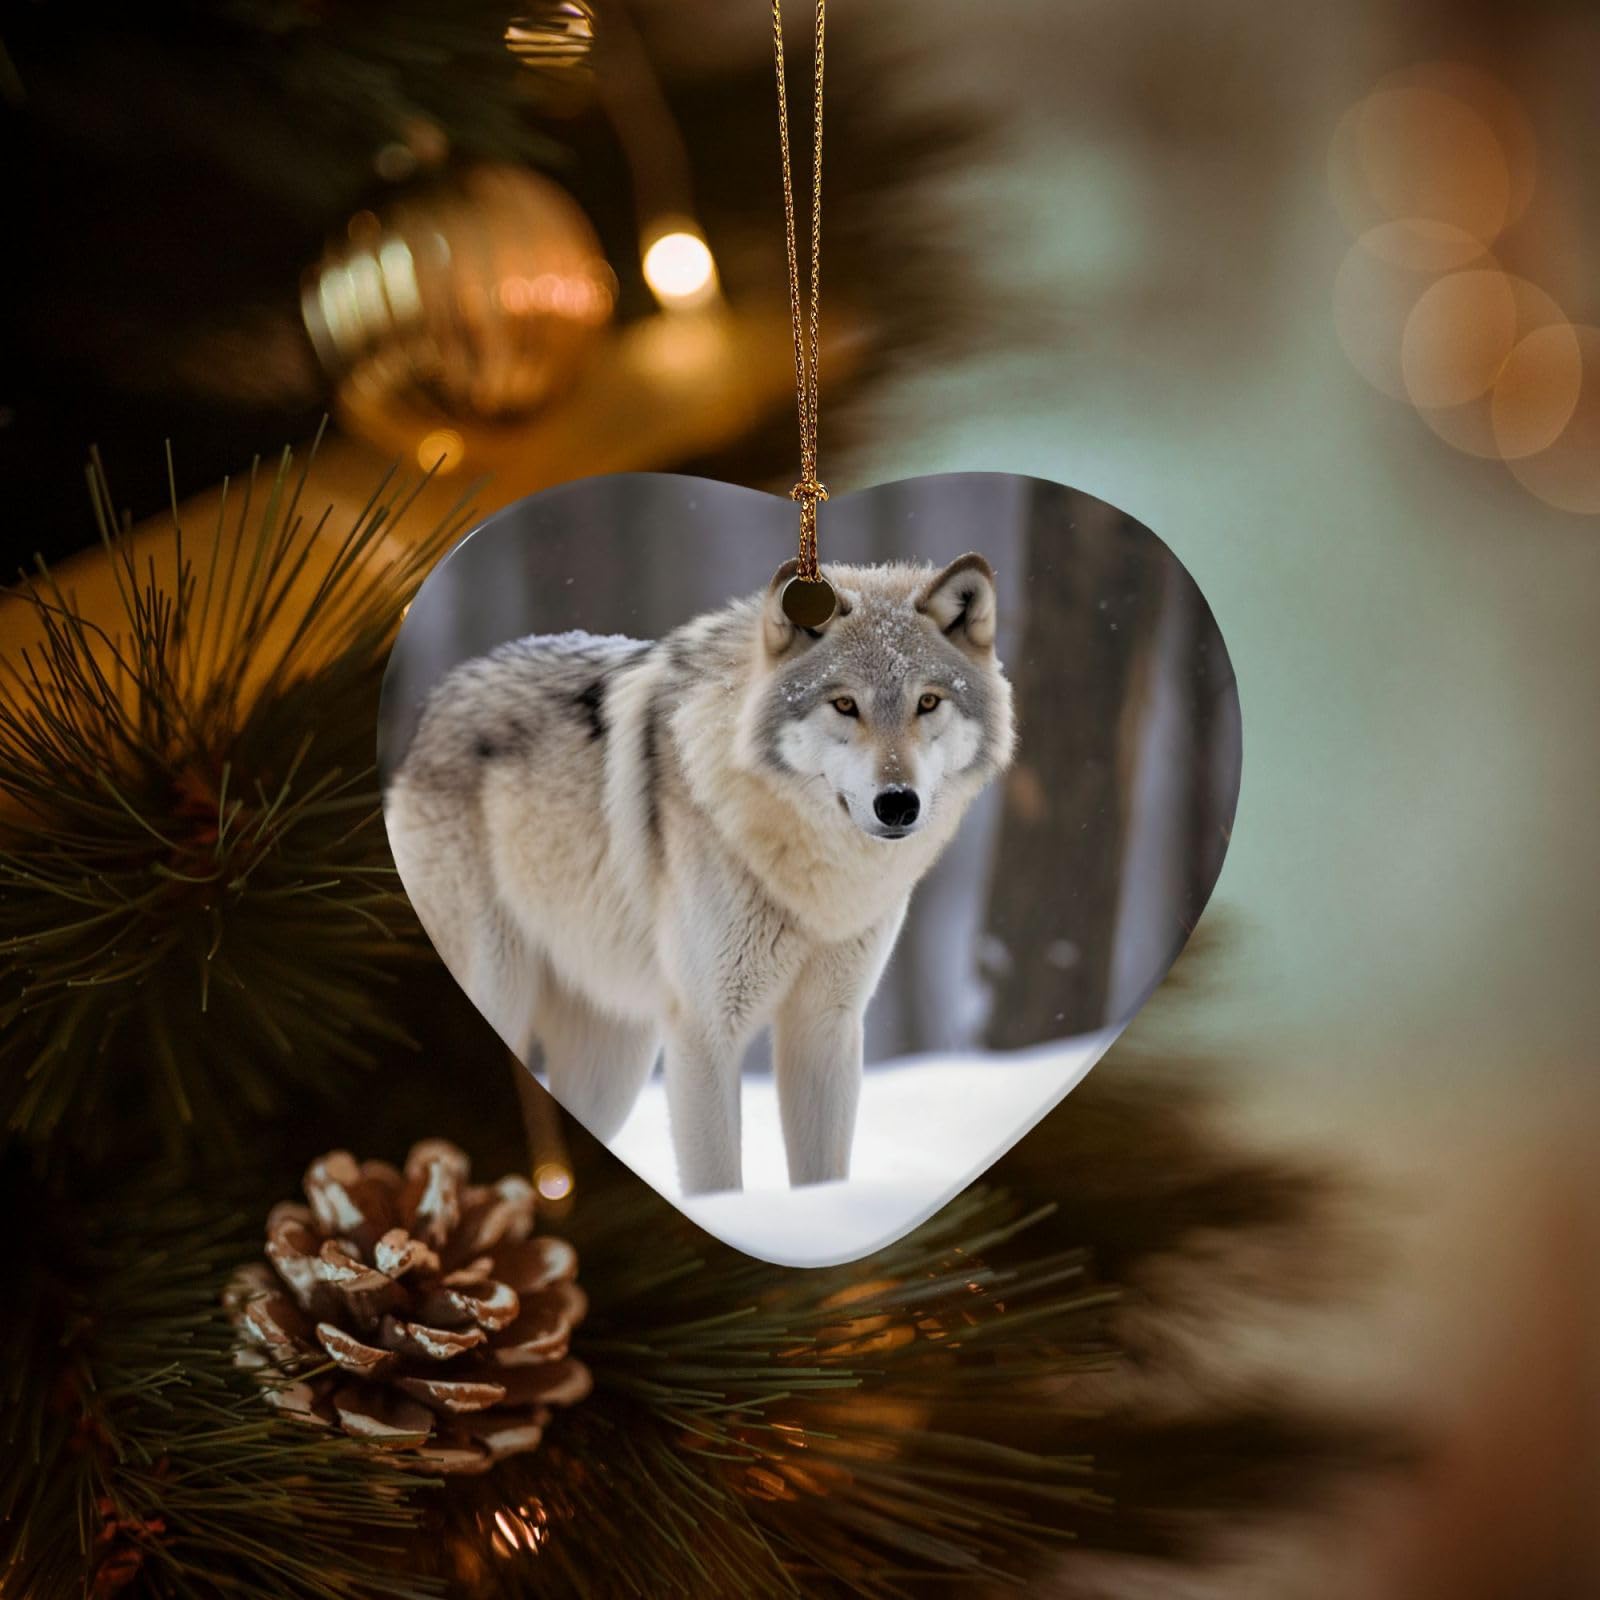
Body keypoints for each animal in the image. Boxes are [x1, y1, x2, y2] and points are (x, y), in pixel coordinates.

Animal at [384, 553, 1016, 1195]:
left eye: (928, 703)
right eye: (844, 705)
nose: (898, 804)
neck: (814, 881)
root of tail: (430, 713)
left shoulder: (826, 1029)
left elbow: (823, 1178)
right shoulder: (706, 1032)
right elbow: (718, 1182)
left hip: (614, 1065)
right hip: (502, 993)